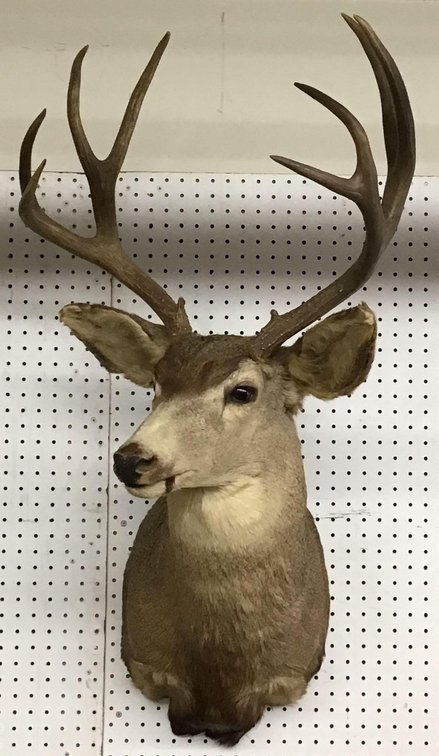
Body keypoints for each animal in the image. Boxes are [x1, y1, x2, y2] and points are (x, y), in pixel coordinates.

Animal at [18, 14, 415, 747]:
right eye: (155, 385)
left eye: (243, 391)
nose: (133, 458)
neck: (219, 672)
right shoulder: (148, 667)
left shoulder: (289, 677)